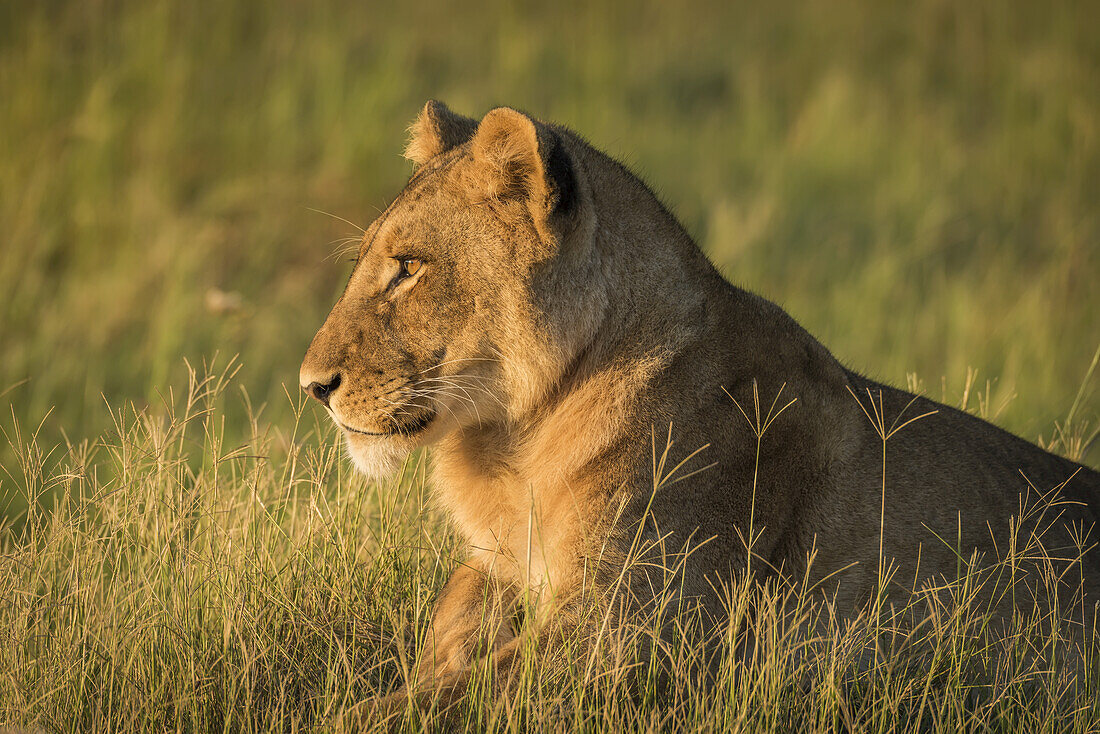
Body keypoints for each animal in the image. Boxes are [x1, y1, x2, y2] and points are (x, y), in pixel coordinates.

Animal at [301, 100, 1100, 708]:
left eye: (408, 266)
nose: (312, 385)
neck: (514, 442)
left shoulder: (632, 630)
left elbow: (424, 705)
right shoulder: (500, 569)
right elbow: (450, 635)